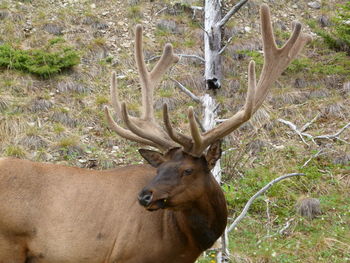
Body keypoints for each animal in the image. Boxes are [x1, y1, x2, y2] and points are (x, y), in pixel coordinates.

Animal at [0, 5, 308, 263]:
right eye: (159, 169)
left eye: (187, 170)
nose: (145, 197)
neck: (188, 243)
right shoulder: (129, 257)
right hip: (9, 246)